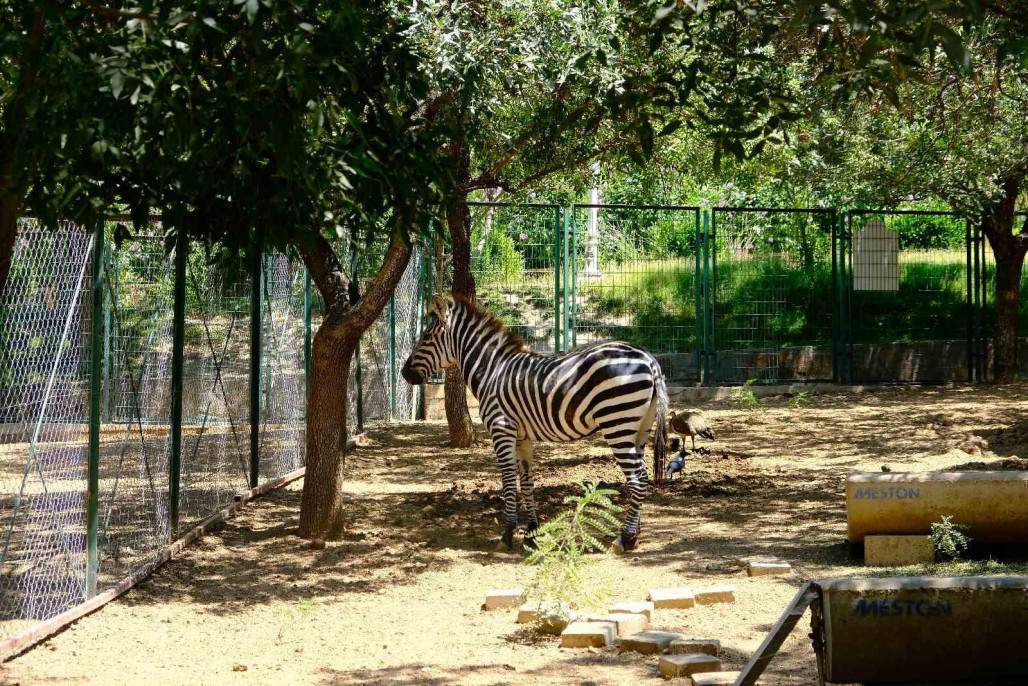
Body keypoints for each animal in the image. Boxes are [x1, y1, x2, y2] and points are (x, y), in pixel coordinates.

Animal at [396, 294, 670, 551]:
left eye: (427, 337)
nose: (404, 374)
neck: (491, 371)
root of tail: (649, 359)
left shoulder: (502, 430)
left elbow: (508, 480)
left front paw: (507, 535)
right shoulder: (522, 437)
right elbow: (526, 482)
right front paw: (532, 533)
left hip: (617, 422)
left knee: (637, 479)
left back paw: (624, 538)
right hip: (639, 428)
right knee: (642, 476)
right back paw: (633, 536)